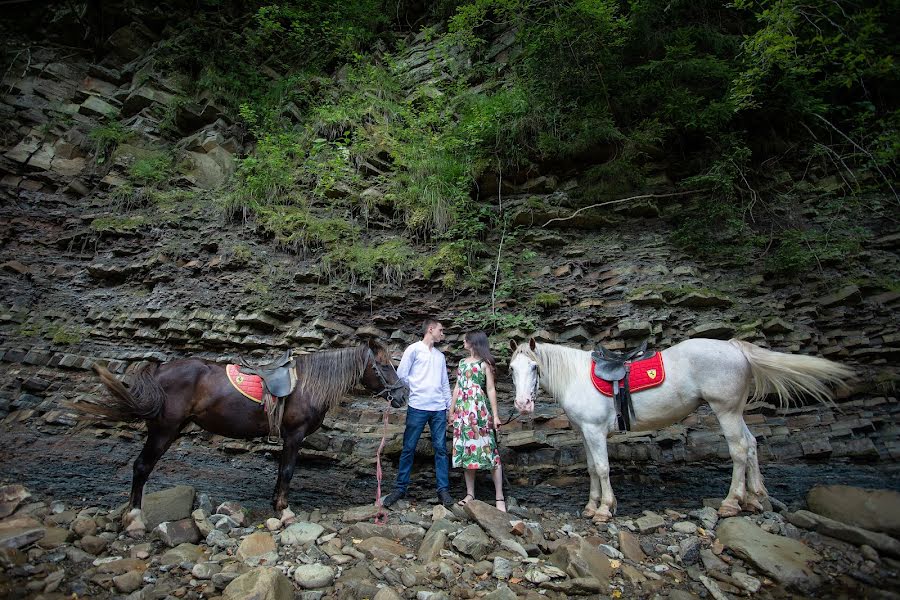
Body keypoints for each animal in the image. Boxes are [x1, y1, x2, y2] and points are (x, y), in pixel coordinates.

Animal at [81, 342, 408, 524]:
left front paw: (275, 506)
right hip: (164, 430)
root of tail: (159, 371)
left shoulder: (287, 438)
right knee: (141, 467)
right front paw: (285, 511)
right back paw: (135, 518)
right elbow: (288, 471)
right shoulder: (295, 435)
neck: (307, 385)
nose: (402, 395)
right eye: (383, 366)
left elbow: (280, 471)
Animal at [510, 338, 856, 520]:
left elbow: (604, 469)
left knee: (739, 450)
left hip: (725, 410)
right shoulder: (586, 433)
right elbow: (593, 469)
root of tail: (736, 348)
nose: (523, 405)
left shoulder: (595, 432)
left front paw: (606, 509)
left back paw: (732, 502)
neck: (577, 376)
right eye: (512, 369)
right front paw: (591, 505)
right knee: (753, 444)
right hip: (737, 411)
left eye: (535, 367)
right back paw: (756, 497)